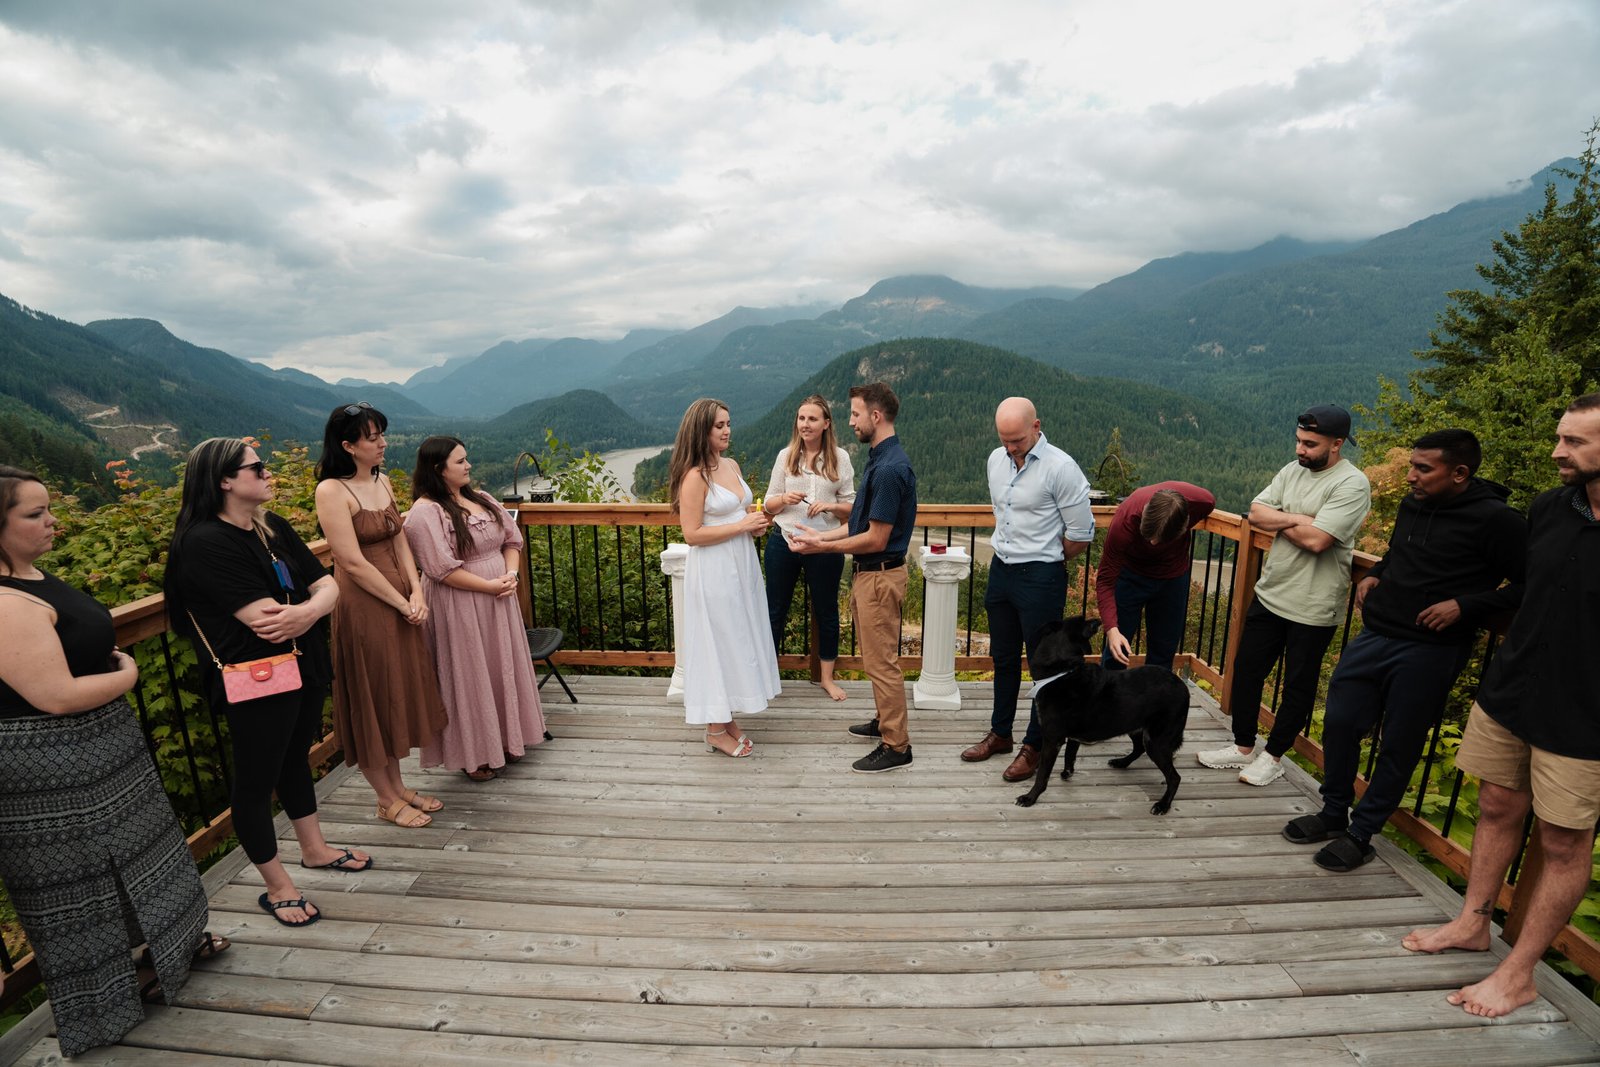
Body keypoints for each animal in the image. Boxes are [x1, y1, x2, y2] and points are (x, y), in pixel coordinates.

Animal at [1014, 616, 1189, 815]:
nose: (1098, 620)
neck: (1063, 671)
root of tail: (1183, 687)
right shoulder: (1071, 735)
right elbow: (1070, 753)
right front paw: (1068, 772)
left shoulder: (1052, 739)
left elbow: (1043, 774)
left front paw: (1030, 797)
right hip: (1134, 726)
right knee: (1139, 748)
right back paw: (1121, 762)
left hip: (1156, 740)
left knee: (1174, 777)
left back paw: (1163, 805)